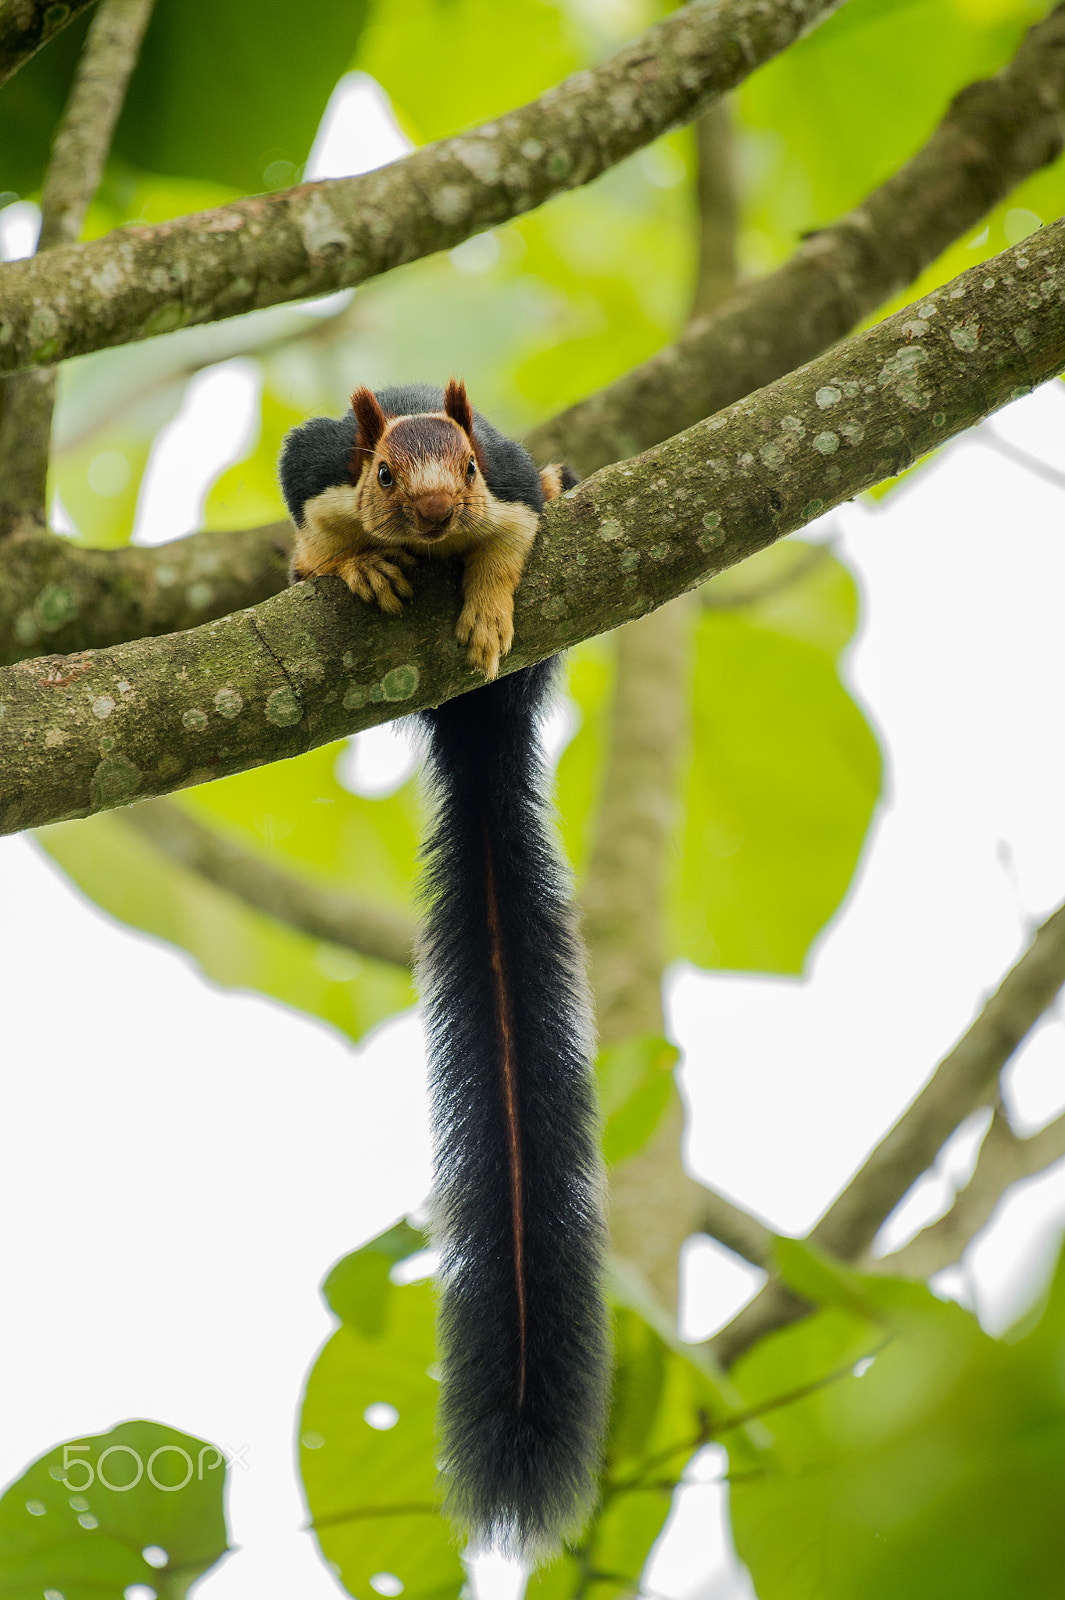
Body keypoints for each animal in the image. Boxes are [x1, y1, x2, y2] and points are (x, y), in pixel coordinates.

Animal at [279, 382, 611, 1556]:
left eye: (463, 469)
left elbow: (519, 532)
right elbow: (309, 516)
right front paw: (344, 566)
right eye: (384, 473)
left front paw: (490, 601)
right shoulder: (318, 469)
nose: (426, 515)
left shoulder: (504, 493)